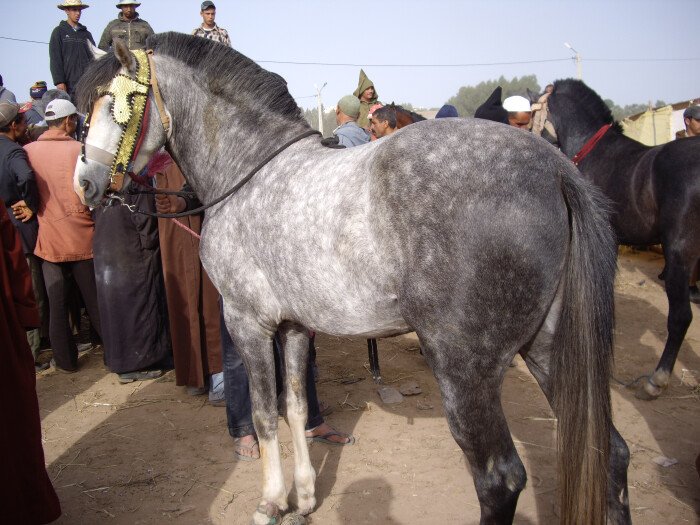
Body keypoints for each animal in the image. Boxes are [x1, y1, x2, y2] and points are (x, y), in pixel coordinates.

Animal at [74, 33, 632, 524]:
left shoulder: (248, 323)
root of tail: (555, 171)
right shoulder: (295, 326)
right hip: (547, 348)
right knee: (612, 454)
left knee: (499, 480)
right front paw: (303, 498)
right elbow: (296, 408)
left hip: (465, 368)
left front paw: (271, 502)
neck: (250, 172)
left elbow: (264, 412)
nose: (85, 184)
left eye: (118, 103)